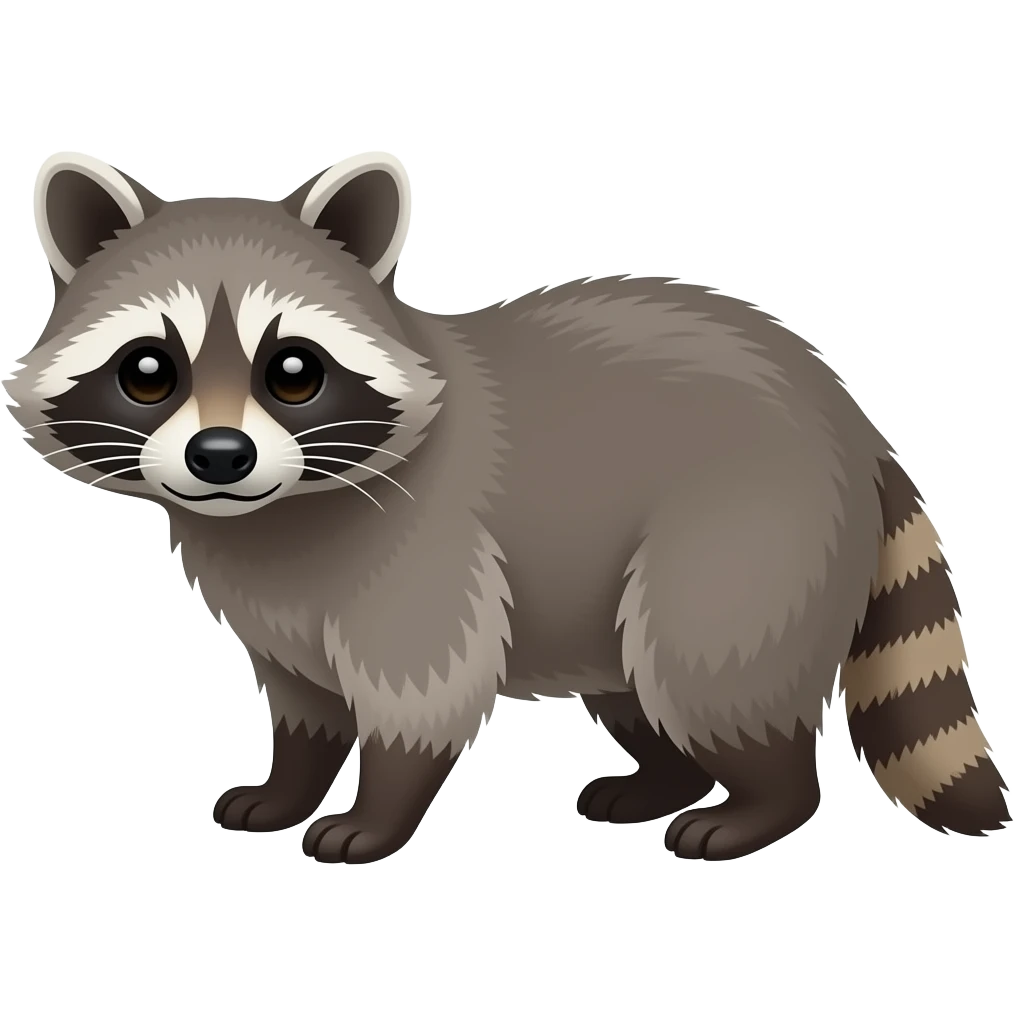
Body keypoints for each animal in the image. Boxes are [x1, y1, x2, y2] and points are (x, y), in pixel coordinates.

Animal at [8, 149, 1009, 865]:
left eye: (293, 370)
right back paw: (661, 778)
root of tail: (848, 414)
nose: (221, 457)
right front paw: (287, 783)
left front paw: (375, 813)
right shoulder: (277, 599)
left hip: (747, 531)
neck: (278, 508)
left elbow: (422, 688)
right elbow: (302, 700)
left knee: (703, 662)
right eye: (148, 370)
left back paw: (761, 802)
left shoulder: (418, 543)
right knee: (635, 683)